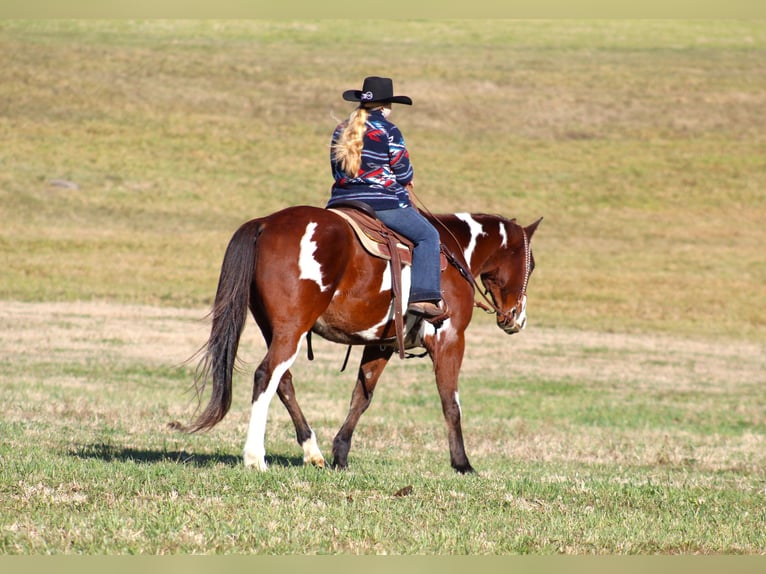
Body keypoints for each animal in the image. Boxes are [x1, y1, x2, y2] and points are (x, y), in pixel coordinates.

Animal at [180, 205, 544, 474]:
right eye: (531, 265)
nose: (517, 318)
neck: (454, 252)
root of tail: (265, 224)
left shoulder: (380, 344)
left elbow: (361, 397)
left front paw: (340, 455)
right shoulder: (451, 339)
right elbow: (450, 402)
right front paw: (463, 464)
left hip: (278, 331)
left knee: (283, 382)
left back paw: (313, 452)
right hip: (291, 330)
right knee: (266, 376)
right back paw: (255, 457)